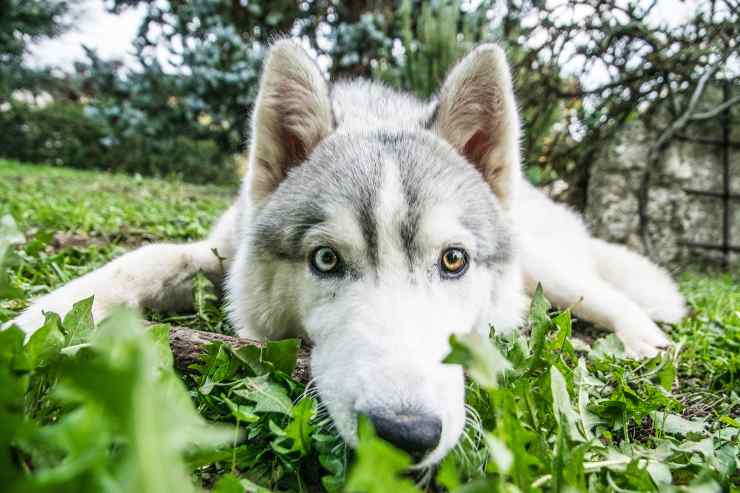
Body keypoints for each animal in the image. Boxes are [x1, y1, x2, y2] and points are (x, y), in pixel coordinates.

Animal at [7, 41, 688, 466]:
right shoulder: (218, 254)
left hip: (551, 271)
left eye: (453, 261)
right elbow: (139, 260)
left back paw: (643, 345)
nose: (405, 434)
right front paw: (31, 323)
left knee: (614, 297)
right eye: (326, 261)